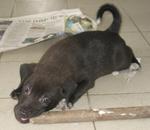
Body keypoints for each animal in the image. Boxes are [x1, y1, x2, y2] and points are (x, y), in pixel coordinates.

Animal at [10, 3, 141, 123]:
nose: (22, 112)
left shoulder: (88, 80)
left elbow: (78, 89)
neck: (54, 66)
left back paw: (135, 64)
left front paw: (68, 101)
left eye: (46, 100)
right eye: (27, 90)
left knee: (129, 51)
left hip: (121, 59)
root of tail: (111, 32)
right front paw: (17, 91)